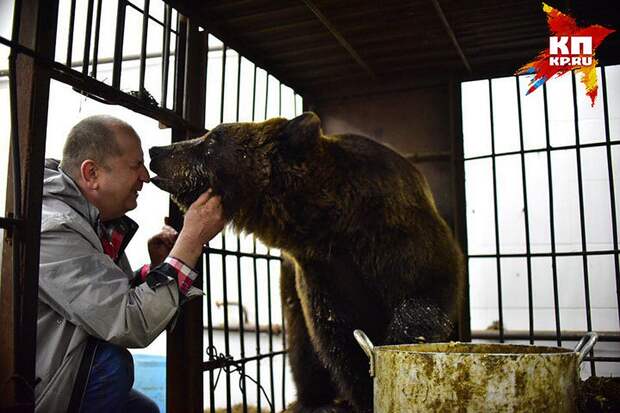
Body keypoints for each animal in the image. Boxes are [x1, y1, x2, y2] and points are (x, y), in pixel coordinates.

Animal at [149, 112, 464, 412]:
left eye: (212, 139)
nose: (157, 150)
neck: (330, 224)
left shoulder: (396, 235)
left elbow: (425, 293)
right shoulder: (322, 273)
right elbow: (337, 338)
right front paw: (363, 394)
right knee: (302, 346)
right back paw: (315, 401)